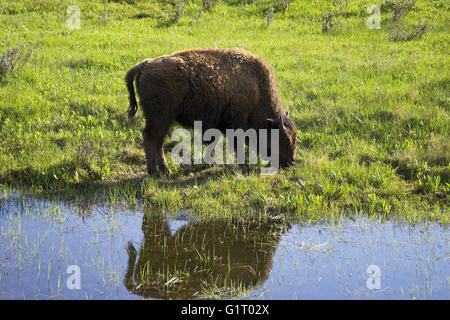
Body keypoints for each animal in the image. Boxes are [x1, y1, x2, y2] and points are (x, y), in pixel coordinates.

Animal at [125, 48, 298, 175]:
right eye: (282, 140)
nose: (290, 163)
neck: (256, 89)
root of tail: (145, 64)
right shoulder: (236, 121)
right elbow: (237, 143)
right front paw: (243, 165)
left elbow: (214, 142)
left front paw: (211, 162)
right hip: (160, 118)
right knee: (150, 138)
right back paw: (155, 172)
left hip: (164, 120)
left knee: (158, 142)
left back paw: (164, 170)